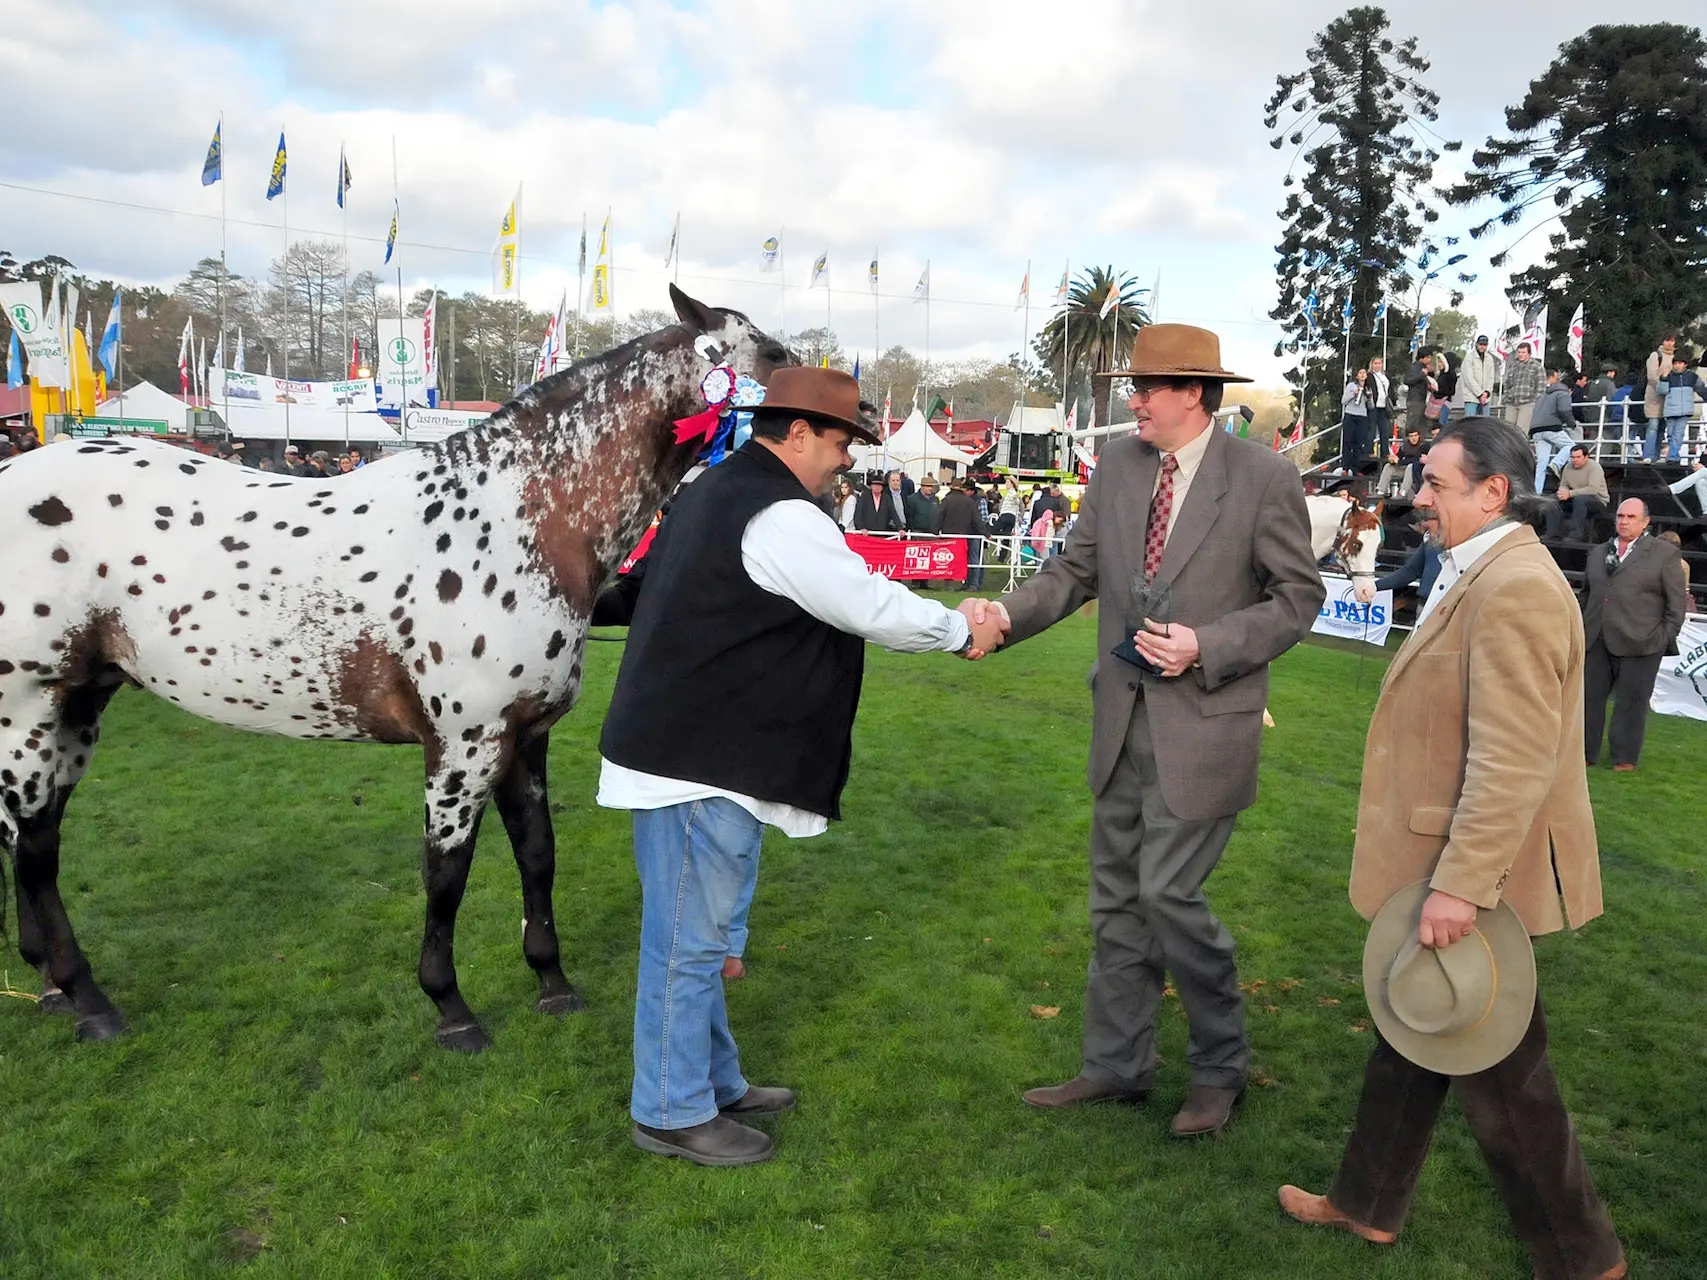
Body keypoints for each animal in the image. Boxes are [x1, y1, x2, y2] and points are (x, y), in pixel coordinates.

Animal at [0, 283, 792, 1051]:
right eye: (775, 355)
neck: (514, 522)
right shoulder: (464, 748)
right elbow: (446, 874)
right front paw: (451, 1008)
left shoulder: (524, 738)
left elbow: (538, 855)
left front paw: (552, 984)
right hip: (30, 712)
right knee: (36, 847)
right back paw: (88, 999)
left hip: (79, 708)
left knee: (28, 838)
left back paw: (47, 983)